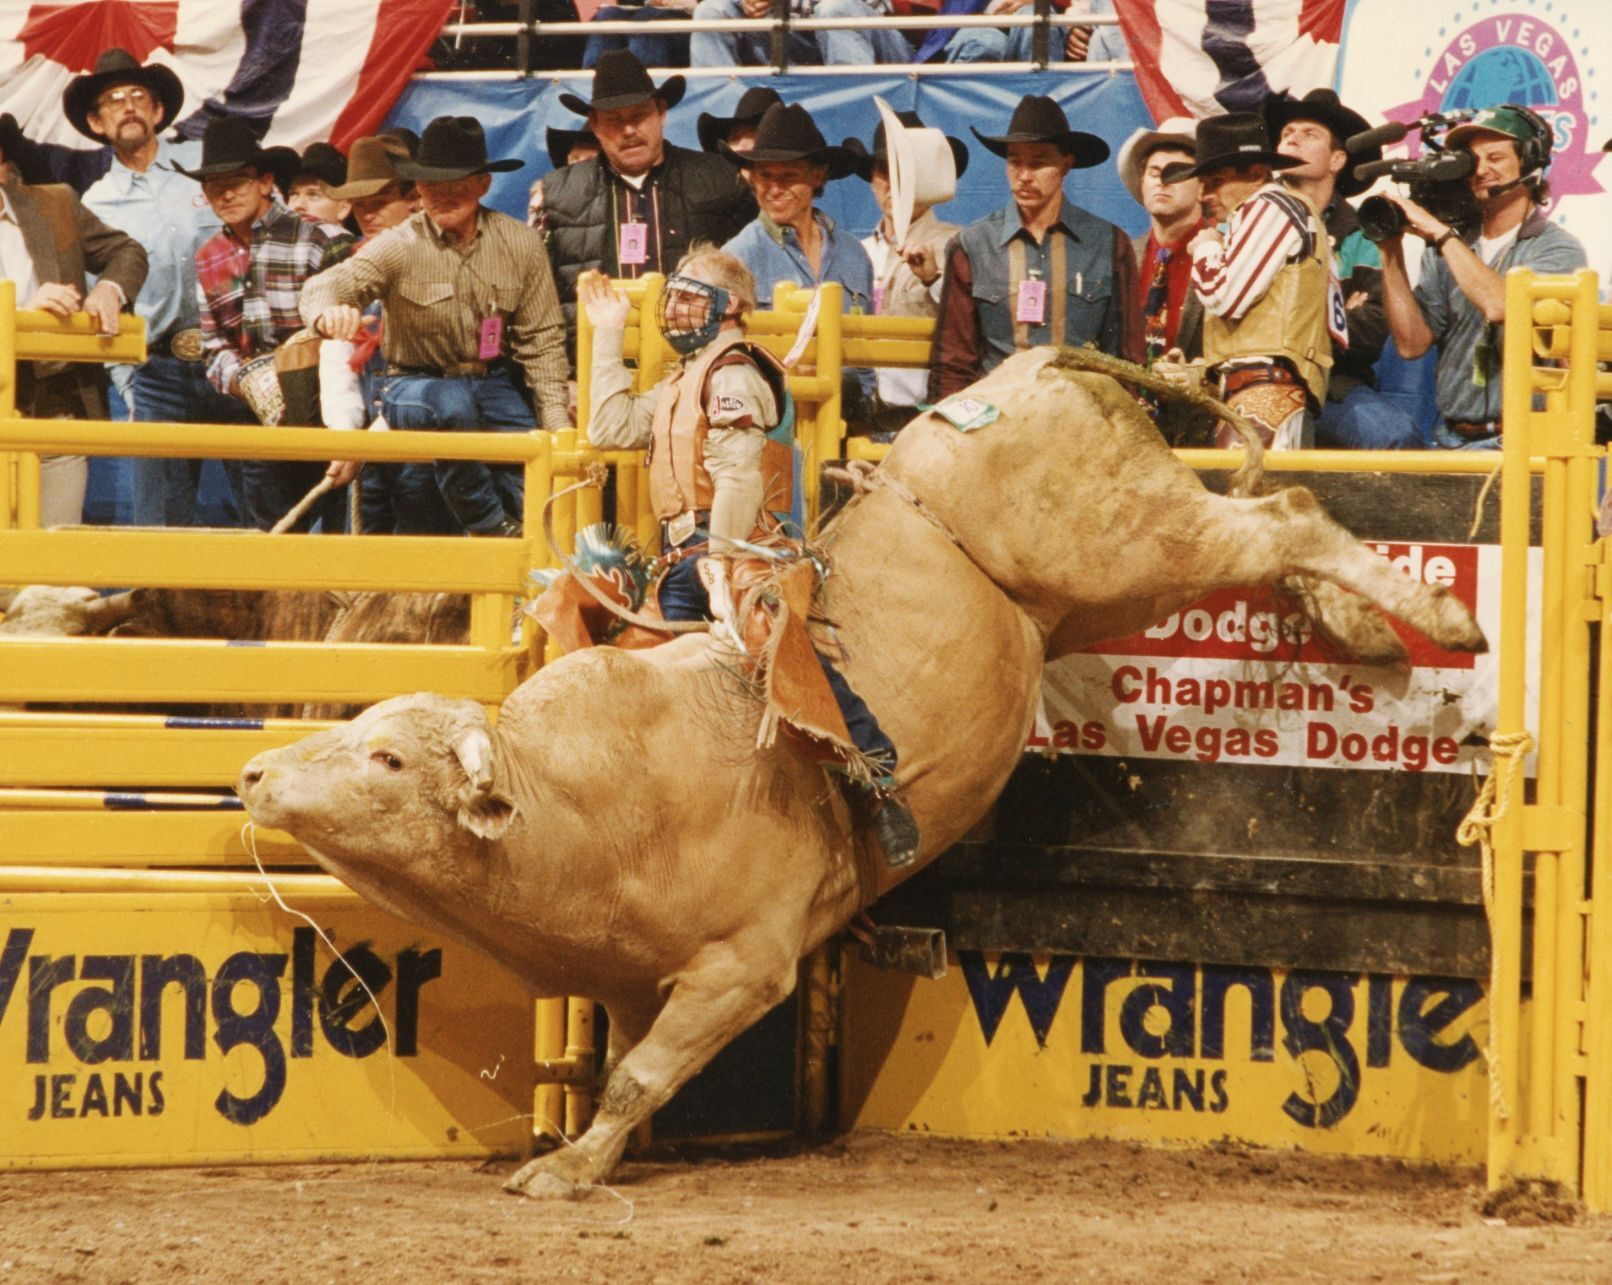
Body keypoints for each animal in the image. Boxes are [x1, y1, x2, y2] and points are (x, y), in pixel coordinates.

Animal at [230, 351, 1483, 1193]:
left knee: (1287, 513)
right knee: (1279, 534)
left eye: (388, 755)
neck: (580, 806)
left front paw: (565, 1170)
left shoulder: (747, 964)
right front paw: (587, 1150)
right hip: (1108, 585)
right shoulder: (633, 981)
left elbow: (645, 1073)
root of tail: (1041, 364)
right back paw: (1369, 636)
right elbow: (626, 1063)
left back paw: (1440, 617)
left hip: (1128, 545)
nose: (253, 774)